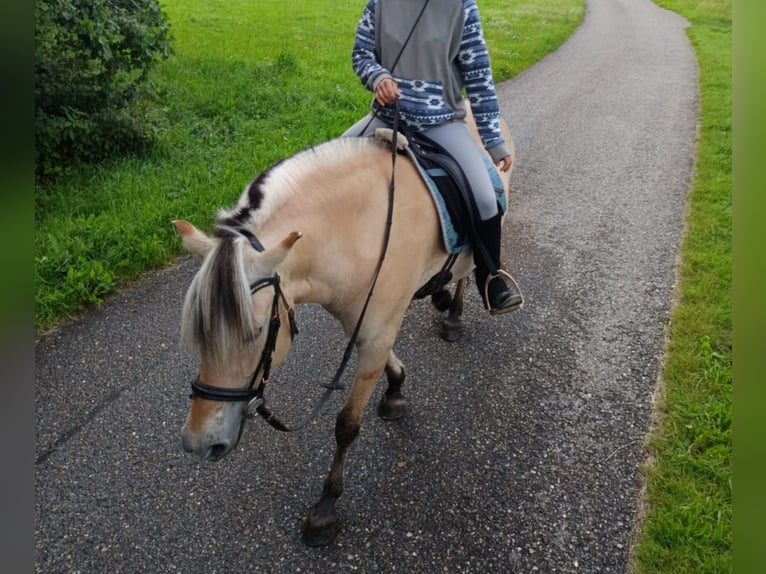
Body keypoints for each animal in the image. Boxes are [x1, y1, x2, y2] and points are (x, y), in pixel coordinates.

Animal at [173, 107, 514, 546]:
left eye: (254, 333)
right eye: (199, 334)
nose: (199, 444)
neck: (356, 231)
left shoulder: (377, 330)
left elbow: (347, 425)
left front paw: (325, 507)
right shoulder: (365, 323)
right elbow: (386, 364)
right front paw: (396, 389)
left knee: (471, 269)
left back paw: (455, 313)